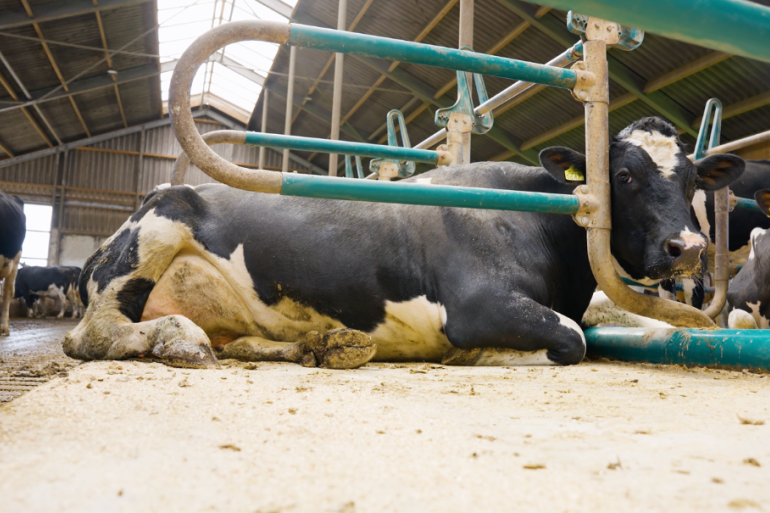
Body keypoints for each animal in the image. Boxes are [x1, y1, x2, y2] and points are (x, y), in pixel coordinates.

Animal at [63, 117, 744, 370]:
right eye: (622, 176)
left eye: (691, 180)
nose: (687, 247)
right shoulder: (477, 304)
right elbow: (572, 338)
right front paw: (485, 355)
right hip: (158, 224)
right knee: (95, 333)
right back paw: (174, 336)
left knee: (244, 340)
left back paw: (323, 344)